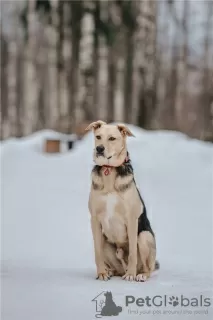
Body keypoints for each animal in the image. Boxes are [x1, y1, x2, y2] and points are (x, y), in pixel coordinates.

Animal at [86, 121, 158, 282]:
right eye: (98, 137)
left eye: (112, 138)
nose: (99, 149)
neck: (109, 170)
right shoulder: (94, 219)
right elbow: (97, 252)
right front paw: (101, 273)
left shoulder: (131, 219)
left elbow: (132, 253)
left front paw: (130, 274)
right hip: (105, 241)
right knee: (115, 267)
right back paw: (110, 271)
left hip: (144, 236)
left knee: (148, 267)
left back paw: (140, 275)